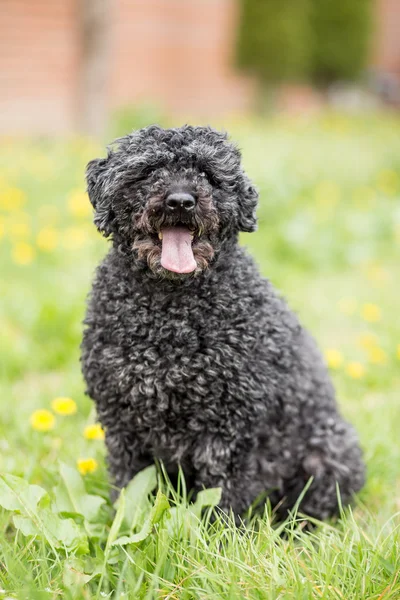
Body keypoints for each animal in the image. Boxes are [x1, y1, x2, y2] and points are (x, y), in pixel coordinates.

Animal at [79, 126, 364, 520]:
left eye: (208, 174)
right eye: (148, 170)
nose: (180, 201)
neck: (170, 319)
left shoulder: (229, 429)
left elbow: (222, 498)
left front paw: (217, 532)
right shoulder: (122, 423)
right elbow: (130, 488)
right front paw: (126, 524)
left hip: (330, 450)